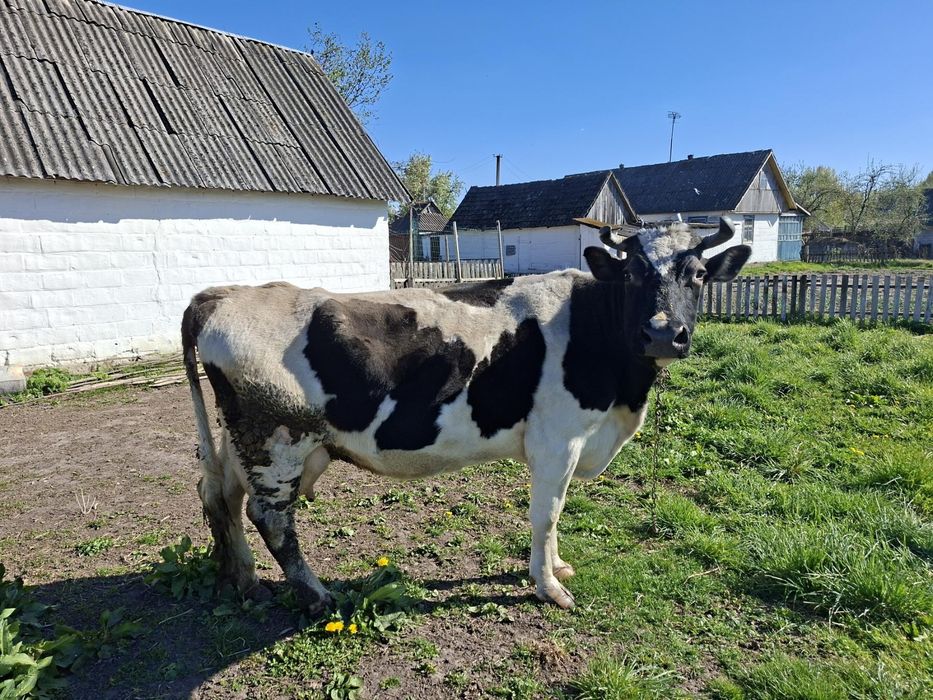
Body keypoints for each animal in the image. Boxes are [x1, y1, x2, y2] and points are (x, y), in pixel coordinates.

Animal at [181, 218, 750, 615]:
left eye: (698, 275)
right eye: (632, 273)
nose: (663, 334)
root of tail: (222, 294)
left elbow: (558, 510)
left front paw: (558, 566)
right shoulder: (556, 440)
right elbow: (545, 514)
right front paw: (548, 587)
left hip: (241, 441)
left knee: (221, 495)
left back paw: (242, 578)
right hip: (276, 441)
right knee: (271, 518)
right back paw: (318, 596)